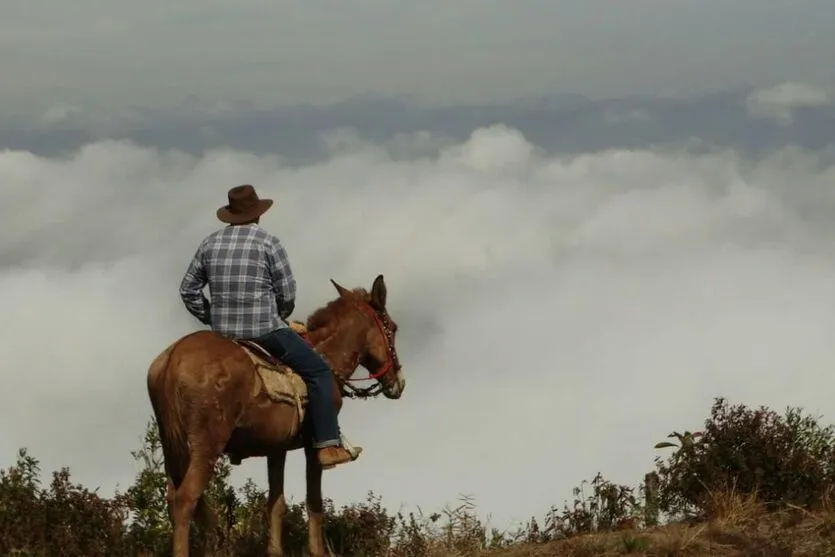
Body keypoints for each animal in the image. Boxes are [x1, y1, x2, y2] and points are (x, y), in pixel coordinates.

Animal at [146, 274, 404, 556]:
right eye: (392, 327)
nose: (398, 382)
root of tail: (172, 359)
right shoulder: (313, 446)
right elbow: (314, 502)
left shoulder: (276, 448)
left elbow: (276, 505)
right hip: (206, 446)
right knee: (185, 501)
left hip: (173, 449)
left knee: (172, 501)